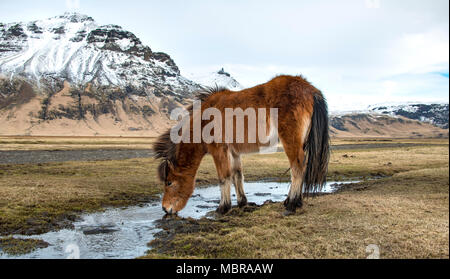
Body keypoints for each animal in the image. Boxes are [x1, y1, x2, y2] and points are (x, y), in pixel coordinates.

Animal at [155, 74, 330, 217]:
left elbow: (223, 177)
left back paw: (292, 205)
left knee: (297, 167)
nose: (165, 209)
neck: (204, 121)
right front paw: (242, 202)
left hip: (291, 140)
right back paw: (292, 201)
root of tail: (311, 90)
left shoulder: (219, 150)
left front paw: (223, 208)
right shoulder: (234, 152)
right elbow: (237, 175)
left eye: (169, 182)